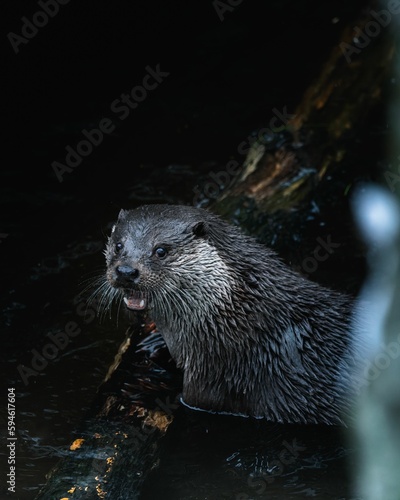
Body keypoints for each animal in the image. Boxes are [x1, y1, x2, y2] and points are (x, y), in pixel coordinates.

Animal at [102, 205, 362, 424]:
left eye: (161, 250)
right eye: (118, 246)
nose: (126, 271)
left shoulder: (216, 377)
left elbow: (187, 401)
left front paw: (145, 390)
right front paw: (154, 343)